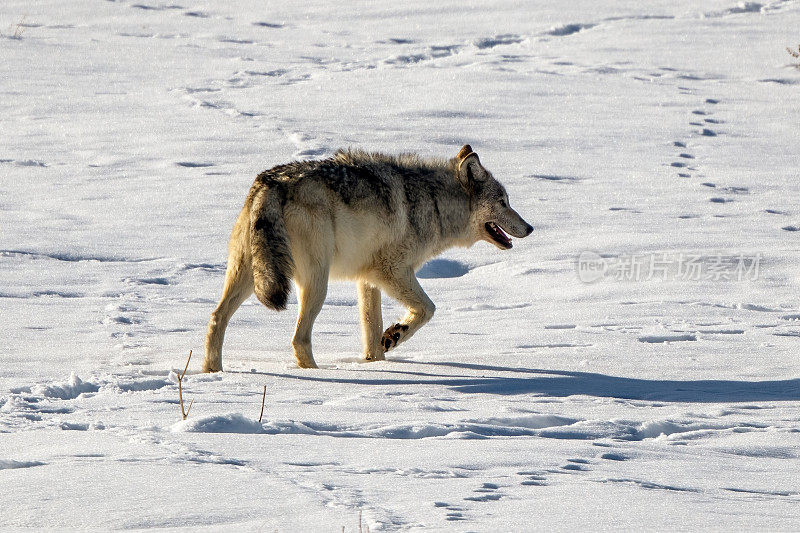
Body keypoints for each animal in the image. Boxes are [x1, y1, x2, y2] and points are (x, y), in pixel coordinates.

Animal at [203, 143, 536, 372]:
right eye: (503, 202)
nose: (530, 228)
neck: (434, 203)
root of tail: (269, 182)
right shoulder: (392, 271)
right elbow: (427, 309)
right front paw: (395, 335)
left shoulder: (368, 279)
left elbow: (372, 334)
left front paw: (377, 361)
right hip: (315, 283)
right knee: (299, 337)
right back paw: (319, 375)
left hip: (254, 276)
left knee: (217, 317)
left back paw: (213, 373)